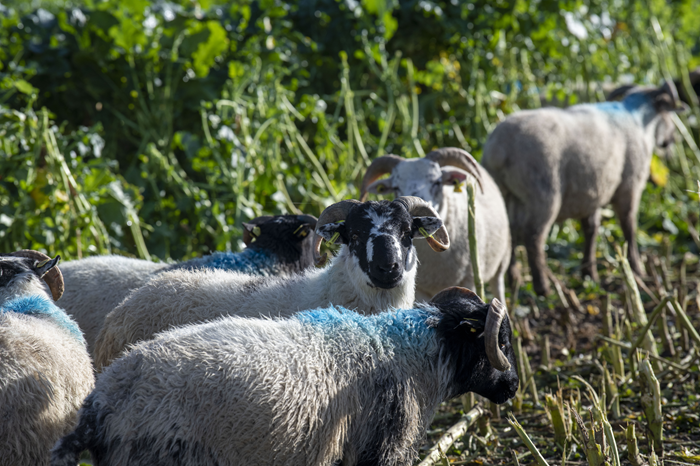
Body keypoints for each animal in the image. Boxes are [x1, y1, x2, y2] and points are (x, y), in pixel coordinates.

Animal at [481, 81, 684, 295]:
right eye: (668, 114)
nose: (671, 140)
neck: (638, 121)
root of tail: (500, 149)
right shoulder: (629, 187)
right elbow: (628, 226)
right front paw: (637, 270)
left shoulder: (592, 193)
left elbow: (591, 230)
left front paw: (589, 274)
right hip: (543, 195)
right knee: (533, 238)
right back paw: (543, 288)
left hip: (506, 196)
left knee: (510, 232)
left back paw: (513, 280)